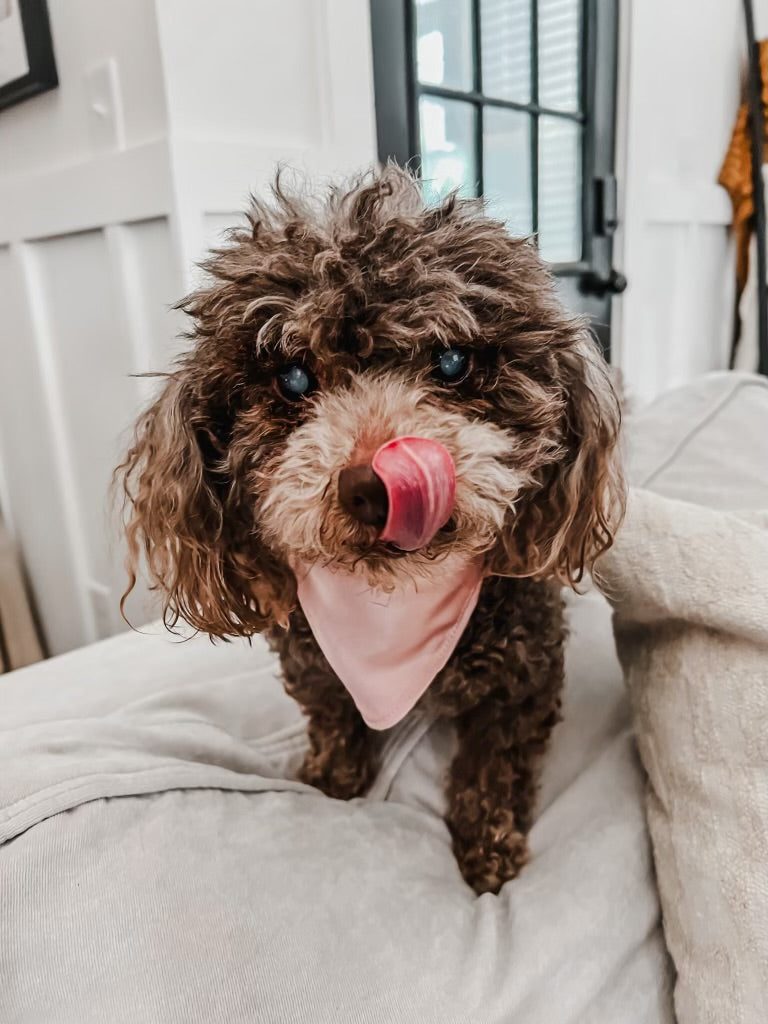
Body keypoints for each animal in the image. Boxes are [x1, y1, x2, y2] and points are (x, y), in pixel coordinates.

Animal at [118, 163, 626, 892]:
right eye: (292, 378)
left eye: (452, 362)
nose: (372, 489)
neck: (393, 610)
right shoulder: (316, 663)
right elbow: (332, 718)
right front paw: (333, 781)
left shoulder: (521, 678)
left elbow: (492, 765)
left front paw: (488, 848)